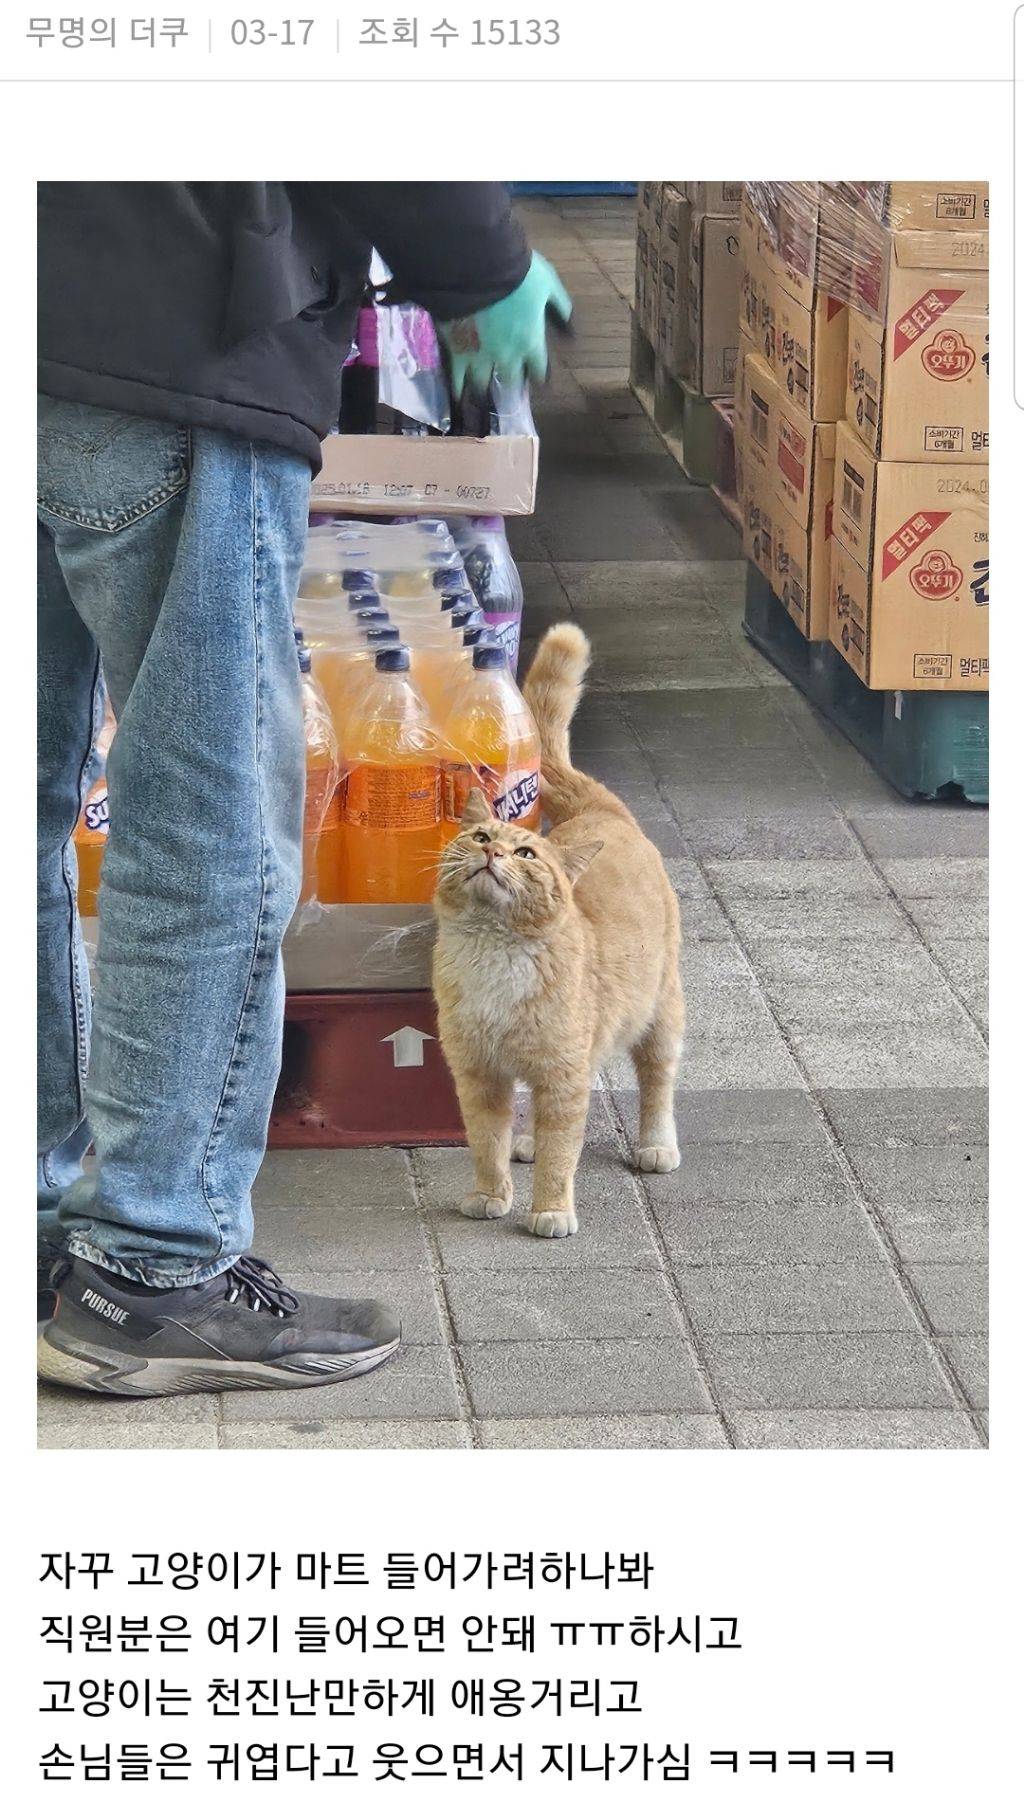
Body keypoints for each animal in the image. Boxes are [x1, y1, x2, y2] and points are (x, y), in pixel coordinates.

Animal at [427, 623, 685, 1239]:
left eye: (525, 853)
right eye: (480, 837)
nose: (494, 852)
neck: (493, 953)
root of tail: (604, 810)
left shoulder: (563, 1077)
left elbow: (562, 1152)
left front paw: (549, 1209)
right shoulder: (479, 1075)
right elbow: (486, 1143)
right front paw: (490, 1193)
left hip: (660, 1012)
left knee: (658, 1081)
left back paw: (657, 1145)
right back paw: (526, 1141)